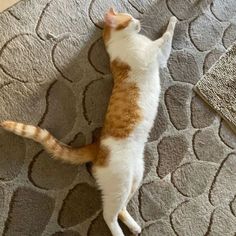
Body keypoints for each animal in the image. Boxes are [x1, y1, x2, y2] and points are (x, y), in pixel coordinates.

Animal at [0, 7, 177, 236]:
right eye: (129, 18)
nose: (138, 21)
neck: (120, 42)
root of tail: (97, 146)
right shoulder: (152, 54)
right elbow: (166, 36)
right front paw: (173, 19)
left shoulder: (157, 58)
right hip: (120, 184)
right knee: (108, 215)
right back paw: (120, 232)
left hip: (134, 179)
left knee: (121, 210)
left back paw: (134, 226)